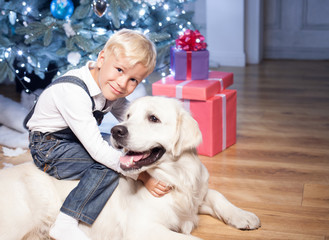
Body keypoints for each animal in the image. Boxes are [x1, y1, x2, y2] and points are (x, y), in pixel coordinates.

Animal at [0, 96, 260, 240]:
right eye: (127, 116)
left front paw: (244, 216)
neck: (176, 177)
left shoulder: (194, 195)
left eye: (153, 118)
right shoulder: (143, 230)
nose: (117, 131)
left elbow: (217, 195)